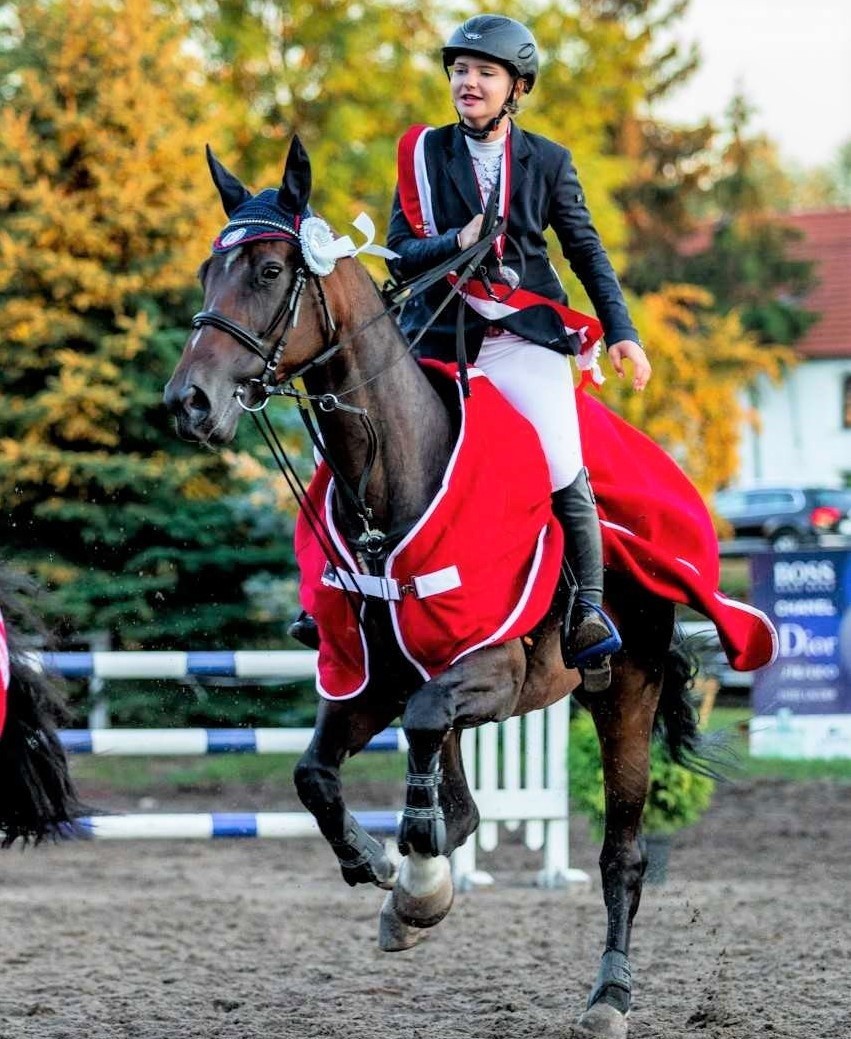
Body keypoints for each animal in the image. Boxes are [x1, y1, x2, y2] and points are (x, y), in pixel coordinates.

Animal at [163, 140, 702, 1039]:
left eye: (270, 270)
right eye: (209, 270)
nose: (188, 403)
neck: (388, 475)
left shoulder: (494, 670)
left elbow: (420, 743)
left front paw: (416, 880)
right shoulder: (373, 675)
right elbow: (315, 773)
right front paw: (389, 873)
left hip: (624, 687)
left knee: (620, 851)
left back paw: (608, 994)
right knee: (455, 787)